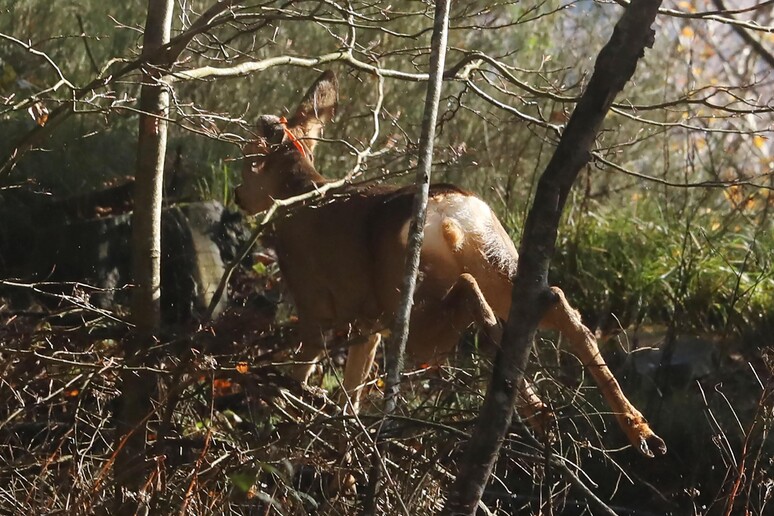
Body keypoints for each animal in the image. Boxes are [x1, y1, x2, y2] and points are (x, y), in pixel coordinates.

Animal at [235, 69, 668, 460]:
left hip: (409, 305)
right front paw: (343, 454)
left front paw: (286, 433)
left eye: (247, 156)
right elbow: (352, 393)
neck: (296, 195)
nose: (237, 193)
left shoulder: (313, 301)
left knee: (470, 297)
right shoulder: (365, 321)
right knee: (556, 302)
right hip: (498, 260)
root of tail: (450, 212)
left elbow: (302, 373)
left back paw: (541, 412)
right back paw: (635, 430)